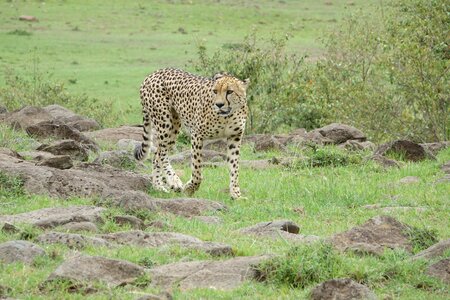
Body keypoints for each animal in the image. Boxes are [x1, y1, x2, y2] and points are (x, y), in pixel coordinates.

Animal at [135, 68, 251, 199]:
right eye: (215, 91)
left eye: (230, 91)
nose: (219, 104)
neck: (227, 116)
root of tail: (153, 74)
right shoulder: (197, 134)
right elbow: (197, 169)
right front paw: (190, 189)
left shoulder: (234, 137)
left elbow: (234, 167)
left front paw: (236, 194)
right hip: (165, 123)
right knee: (162, 154)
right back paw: (173, 182)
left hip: (174, 126)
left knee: (156, 155)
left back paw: (158, 186)